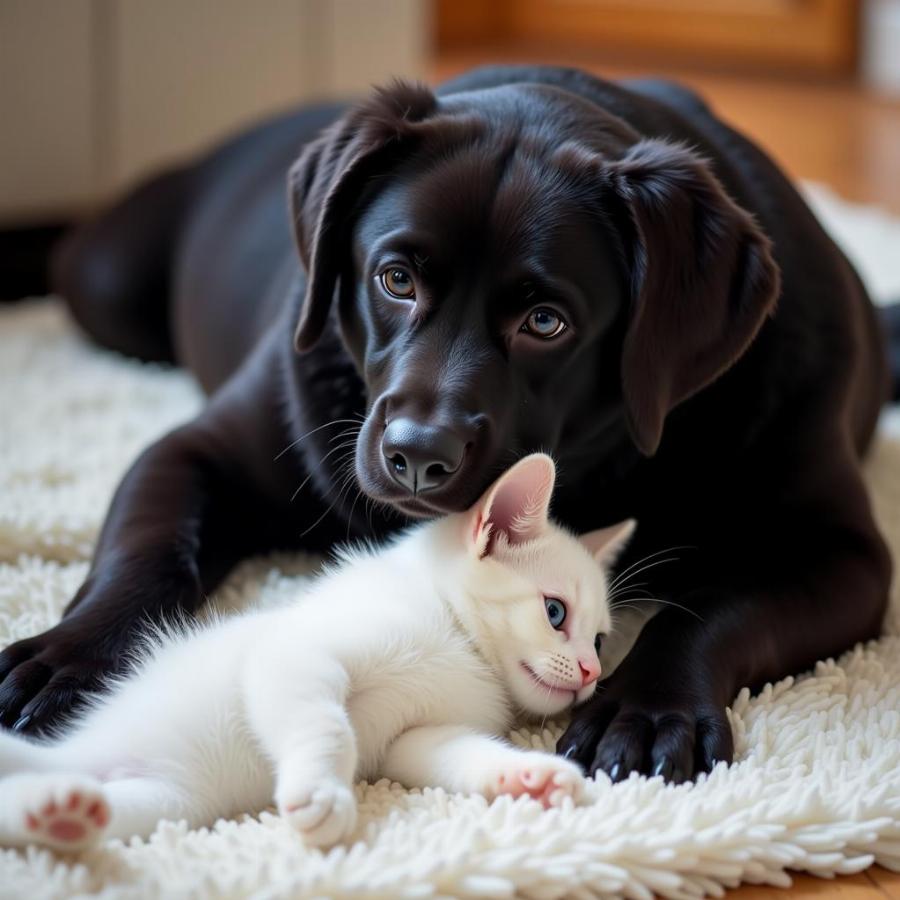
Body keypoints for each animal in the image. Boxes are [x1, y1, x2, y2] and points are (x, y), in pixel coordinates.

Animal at [0, 65, 888, 788]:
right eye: (395, 279)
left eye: (545, 321)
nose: (418, 458)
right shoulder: (195, 452)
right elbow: (145, 550)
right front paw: (69, 660)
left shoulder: (843, 555)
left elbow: (703, 610)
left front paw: (645, 709)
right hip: (106, 285)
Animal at [0, 454, 632, 856]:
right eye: (556, 613)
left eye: (600, 640)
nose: (591, 672)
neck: (457, 636)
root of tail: (81, 755)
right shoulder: (295, 653)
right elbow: (328, 725)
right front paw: (323, 794)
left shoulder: (415, 735)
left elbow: (448, 752)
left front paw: (529, 775)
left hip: (160, 802)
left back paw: (57, 812)